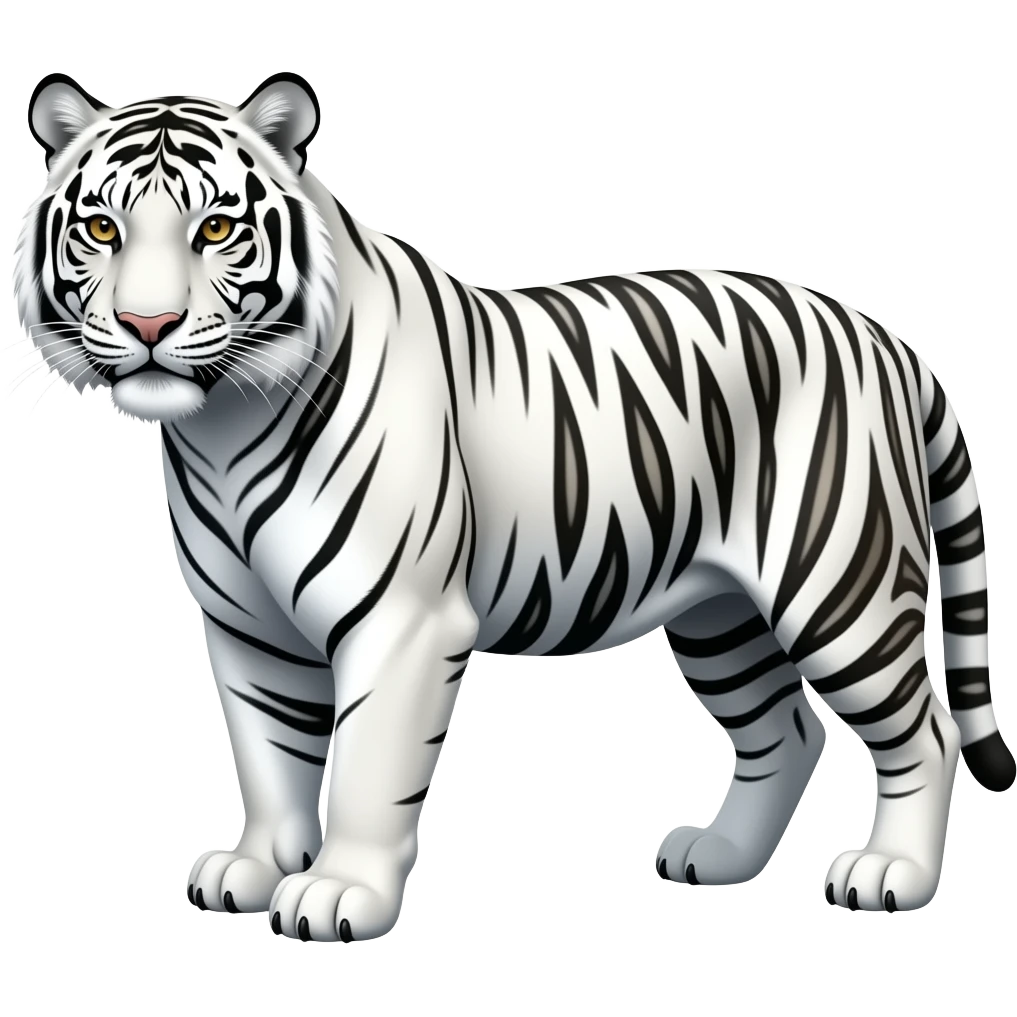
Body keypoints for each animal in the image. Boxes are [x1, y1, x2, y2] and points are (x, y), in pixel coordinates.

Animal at [10, 69, 1013, 942]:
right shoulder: (246, 628)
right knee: (786, 729)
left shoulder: (402, 620)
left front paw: (336, 892)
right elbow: (267, 754)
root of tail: (879, 333)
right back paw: (720, 856)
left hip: (838, 586)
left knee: (922, 730)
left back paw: (889, 875)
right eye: (100, 227)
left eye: (216, 227)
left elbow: (367, 763)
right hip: (719, 614)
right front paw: (253, 869)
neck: (220, 425)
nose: (147, 326)